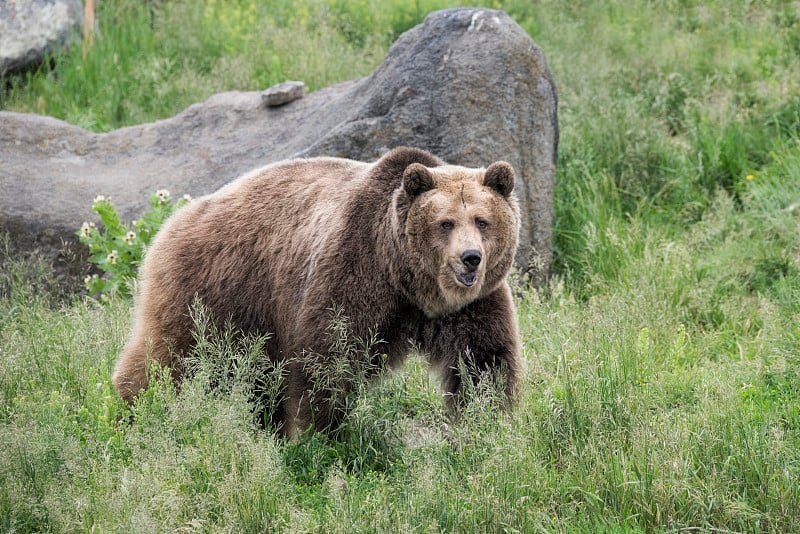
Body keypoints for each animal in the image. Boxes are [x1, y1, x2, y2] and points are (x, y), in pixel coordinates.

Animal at [114, 148, 524, 440]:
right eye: (445, 223)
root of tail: (174, 218)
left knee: (260, 382)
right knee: (165, 355)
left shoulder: (471, 306)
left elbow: (484, 364)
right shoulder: (353, 273)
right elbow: (328, 359)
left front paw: (488, 428)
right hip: (213, 287)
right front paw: (322, 437)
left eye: (483, 221)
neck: (411, 285)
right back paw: (133, 415)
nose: (470, 258)